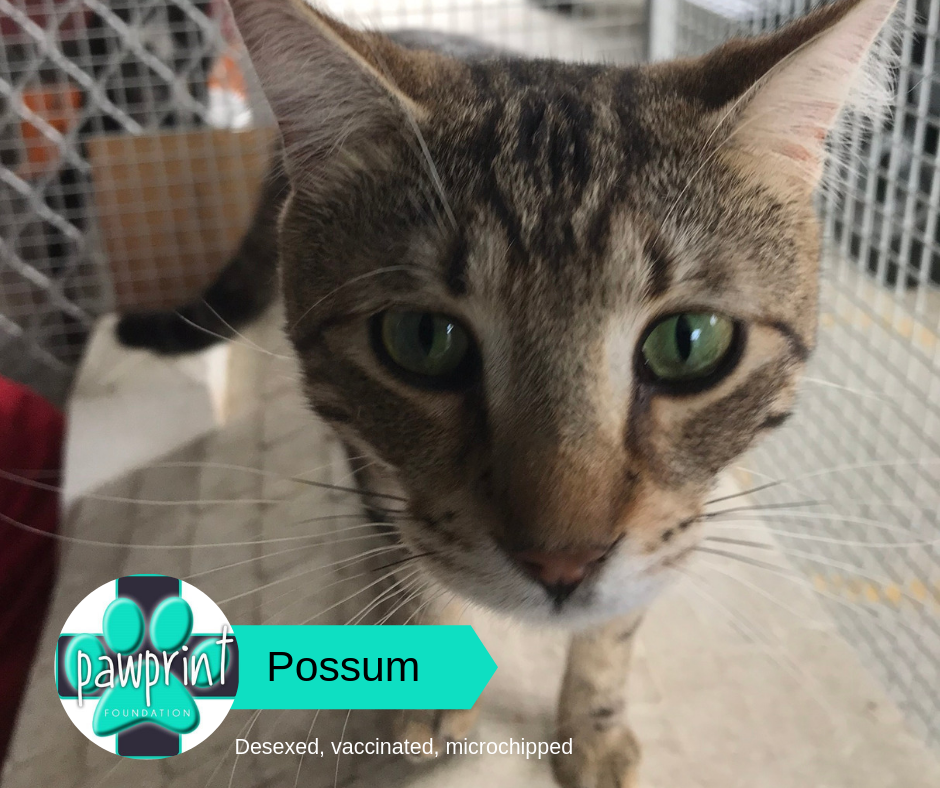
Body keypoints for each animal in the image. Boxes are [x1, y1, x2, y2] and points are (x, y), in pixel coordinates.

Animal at [116, 0, 900, 785]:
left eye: (689, 343)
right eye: (422, 338)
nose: (563, 563)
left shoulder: (678, 518)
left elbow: (618, 622)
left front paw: (592, 723)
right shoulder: (384, 470)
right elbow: (417, 569)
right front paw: (430, 690)